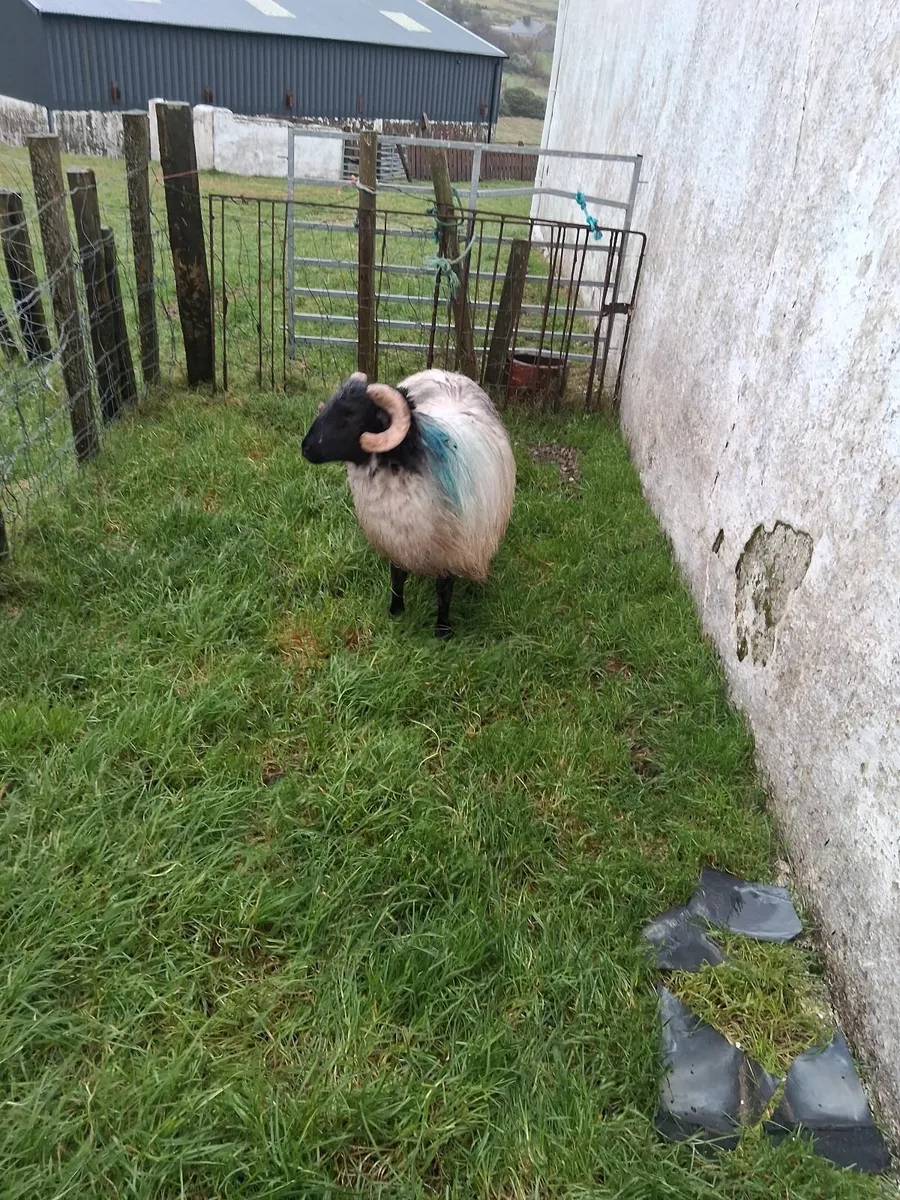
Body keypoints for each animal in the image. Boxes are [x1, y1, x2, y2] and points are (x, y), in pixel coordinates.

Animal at [301, 368, 516, 638]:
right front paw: (395, 610)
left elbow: (444, 590)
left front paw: (442, 631)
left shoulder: (450, 550)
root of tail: (447, 372)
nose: (305, 448)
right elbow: (397, 577)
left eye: (349, 415)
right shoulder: (394, 538)